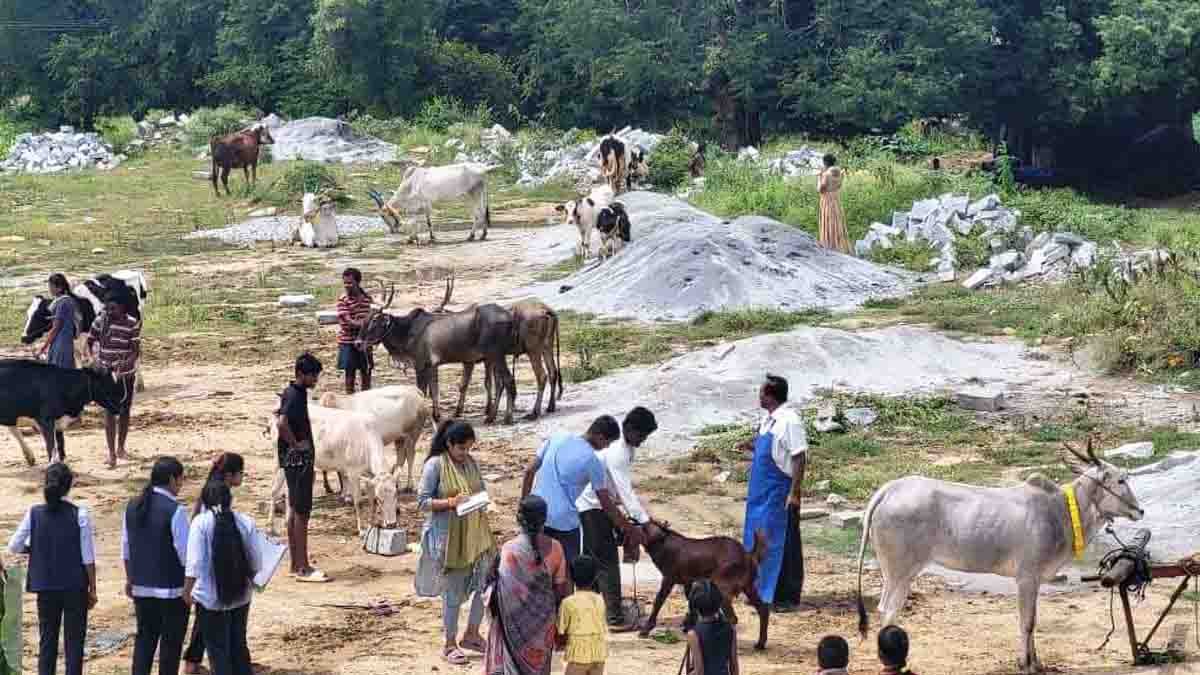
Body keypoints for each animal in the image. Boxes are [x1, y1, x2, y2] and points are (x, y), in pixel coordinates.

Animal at [21, 270, 150, 392]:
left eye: (39, 315)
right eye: (28, 314)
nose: (24, 338)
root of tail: (134, 272)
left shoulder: (86, 336)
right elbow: (79, 359)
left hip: (137, 323)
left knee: (136, 351)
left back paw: (139, 384)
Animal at [855, 439, 1144, 673]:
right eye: (1120, 480)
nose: (1139, 510)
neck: (1059, 510)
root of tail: (891, 489)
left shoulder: (1035, 580)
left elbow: (1033, 621)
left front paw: (1036, 662)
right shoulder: (1027, 577)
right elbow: (1027, 622)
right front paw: (1026, 665)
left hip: (898, 573)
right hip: (899, 570)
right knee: (888, 610)